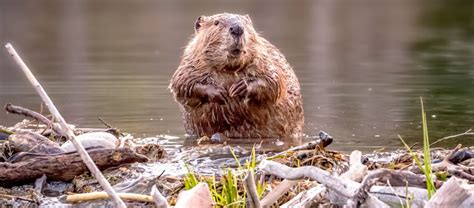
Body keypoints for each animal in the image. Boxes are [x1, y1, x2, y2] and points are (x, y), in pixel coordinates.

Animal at [170, 13, 304, 140]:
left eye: (245, 22)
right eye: (216, 22)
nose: (237, 28)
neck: (229, 69)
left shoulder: (265, 58)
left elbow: (273, 81)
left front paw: (239, 88)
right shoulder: (189, 63)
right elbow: (182, 85)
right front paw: (220, 93)